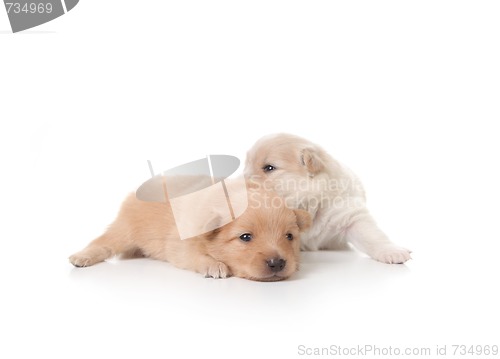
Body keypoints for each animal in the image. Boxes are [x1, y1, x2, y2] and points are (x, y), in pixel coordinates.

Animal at [68, 179, 310, 282]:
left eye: (289, 236)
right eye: (245, 237)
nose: (278, 263)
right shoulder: (180, 246)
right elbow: (196, 256)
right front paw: (214, 265)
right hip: (125, 228)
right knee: (104, 241)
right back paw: (81, 257)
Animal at [244, 133, 412, 264]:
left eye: (269, 168)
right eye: (246, 166)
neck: (308, 205)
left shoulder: (349, 216)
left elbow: (373, 236)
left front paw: (392, 251)